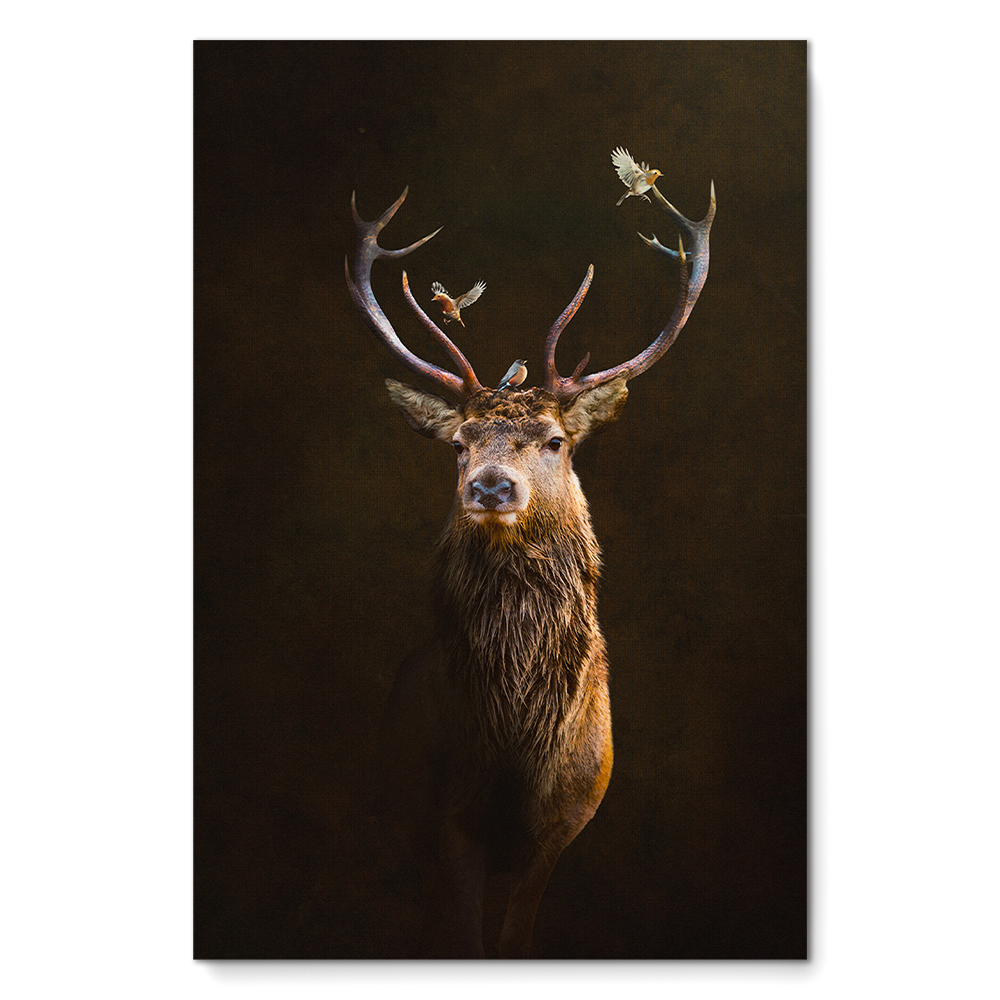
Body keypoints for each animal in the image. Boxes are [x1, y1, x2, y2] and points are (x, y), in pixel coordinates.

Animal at [344, 176, 715, 959]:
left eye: (553, 440)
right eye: (459, 443)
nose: (490, 487)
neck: (518, 744)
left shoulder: (564, 822)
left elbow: (515, 940)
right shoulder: (445, 817)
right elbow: (463, 938)